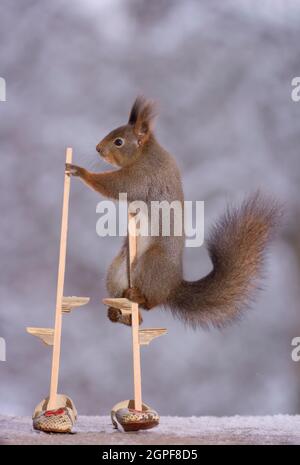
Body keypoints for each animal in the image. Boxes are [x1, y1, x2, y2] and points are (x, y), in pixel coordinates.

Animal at [65, 95, 278, 326]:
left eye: (119, 142)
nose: (98, 148)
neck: (144, 153)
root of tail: (171, 289)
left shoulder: (143, 176)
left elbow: (118, 186)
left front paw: (80, 171)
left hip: (152, 262)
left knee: (149, 303)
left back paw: (136, 297)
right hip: (118, 268)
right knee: (133, 310)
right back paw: (119, 313)